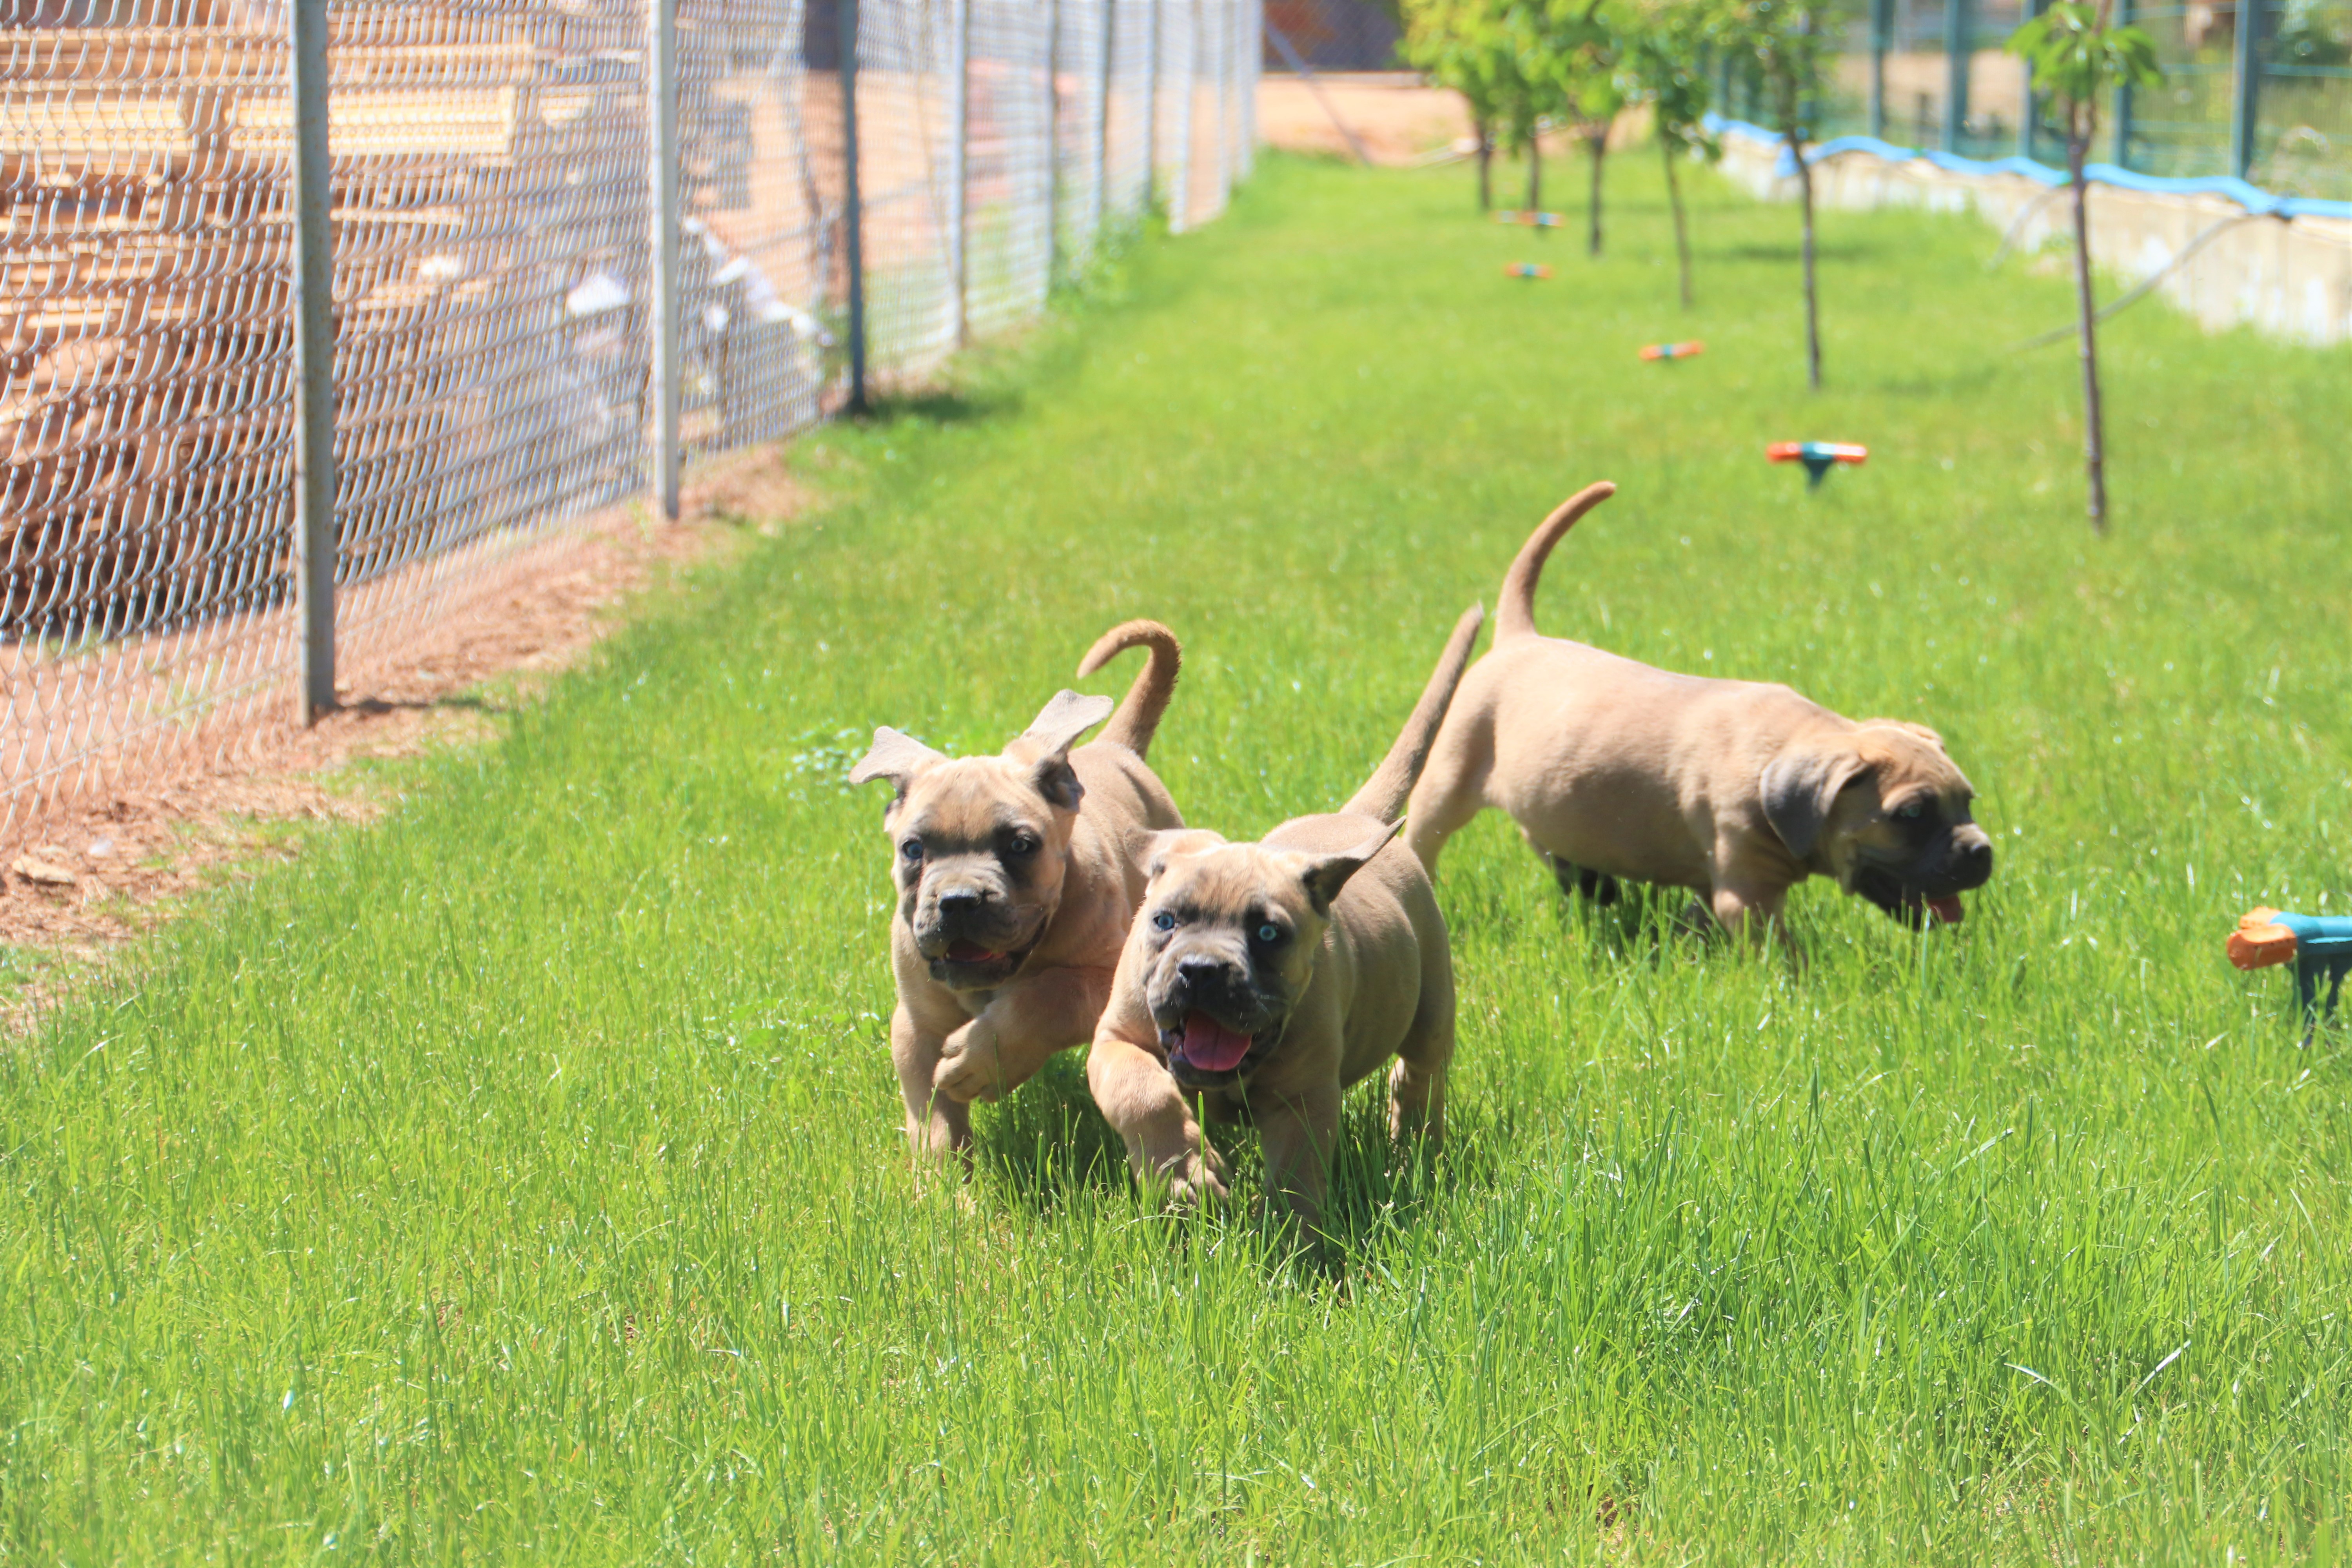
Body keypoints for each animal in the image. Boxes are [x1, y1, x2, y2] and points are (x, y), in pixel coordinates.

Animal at [847, 621, 1185, 1161]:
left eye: (1021, 845)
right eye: (913, 849)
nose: (958, 901)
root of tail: (1115, 747)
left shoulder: (1106, 977)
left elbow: (1048, 993)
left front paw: (983, 1059)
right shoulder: (915, 1026)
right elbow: (933, 1118)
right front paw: (942, 1181)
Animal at [1087, 606, 1486, 1232]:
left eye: (1270, 934)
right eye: (1165, 921)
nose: (1202, 971)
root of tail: (1357, 819)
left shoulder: (1305, 1097)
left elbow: (1298, 1175)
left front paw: (1290, 1239)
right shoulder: (1116, 1037)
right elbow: (1141, 1091)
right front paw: (1185, 1179)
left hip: (1433, 1002)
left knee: (1421, 1075)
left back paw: (1413, 1149)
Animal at [1402, 484, 1994, 940]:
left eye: (1967, 801)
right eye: (1910, 815)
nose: (1983, 852)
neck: (1780, 760)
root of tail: (1519, 637)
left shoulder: (1718, 885)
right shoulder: (1748, 895)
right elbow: (1783, 957)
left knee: (1543, 836)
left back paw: (1593, 883)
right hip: (1449, 779)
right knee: (1426, 838)